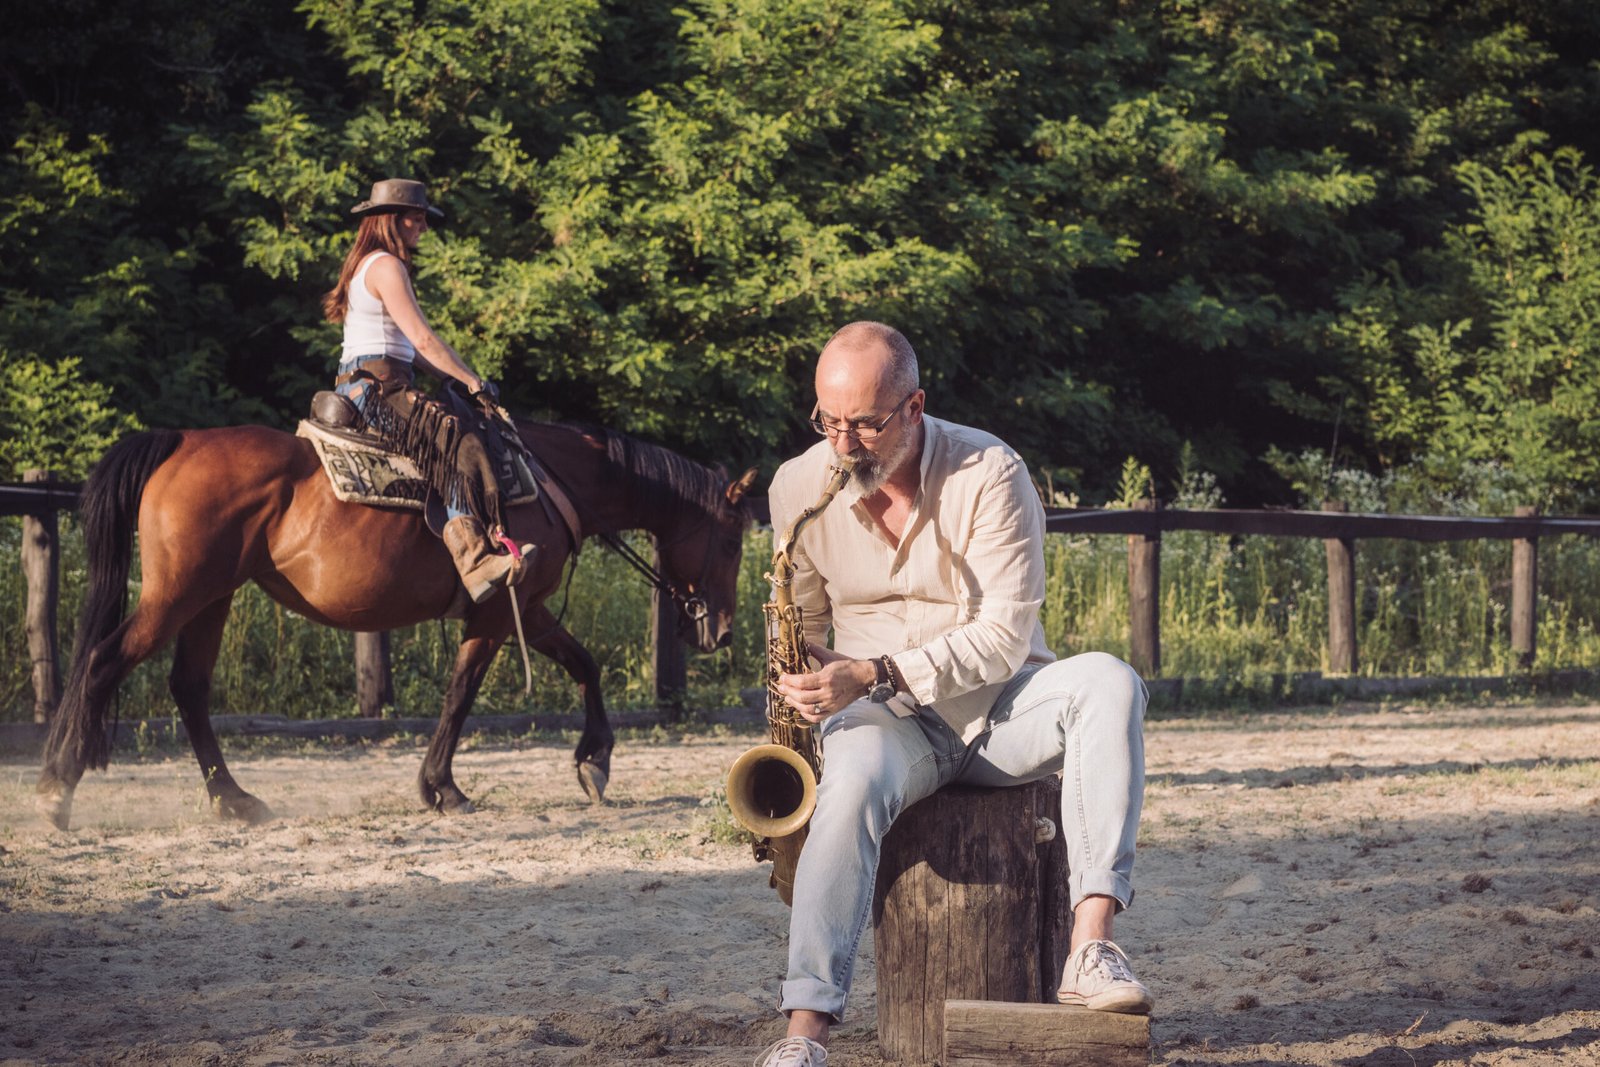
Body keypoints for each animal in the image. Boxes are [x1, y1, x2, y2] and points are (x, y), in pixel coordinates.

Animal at [39, 422, 755, 831]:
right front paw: (442, 788)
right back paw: (57, 790)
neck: (552, 480)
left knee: (188, 689)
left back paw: (235, 801)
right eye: (730, 542)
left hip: (211, 598)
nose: (719, 630)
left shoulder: (523, 608)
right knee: (103, 662)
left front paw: (594, 760)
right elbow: (462, 695)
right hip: (179, 595)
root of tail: (181, 440)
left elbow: (583, 663)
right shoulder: (498, 611)